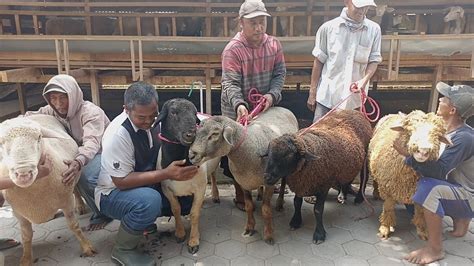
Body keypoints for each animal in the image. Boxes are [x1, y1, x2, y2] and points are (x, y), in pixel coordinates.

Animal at [0, 115, 96, 266]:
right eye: (1, 143)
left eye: (39, 137)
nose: (23, 174)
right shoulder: (18, 213)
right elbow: (26, 236)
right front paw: (26, 259)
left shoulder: (66, 200)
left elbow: (74, 225)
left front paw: (87, 247)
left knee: (76, 189)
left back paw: (80, 206)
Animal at [156, 97, 221, 254]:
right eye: (173, 112)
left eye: (193, 113)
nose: (191, 135)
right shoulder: (167, 190)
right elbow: (176, 209)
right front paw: (179, 233)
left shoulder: (200, 188)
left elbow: (194, 213)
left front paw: (193, 241)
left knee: (213, 175)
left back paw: (215, 195)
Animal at [188, 106, 296, 245]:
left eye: (215, 134)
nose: (191, 155)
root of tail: (283, 108)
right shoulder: (243, 182)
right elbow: (249, 206)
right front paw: (249, 228)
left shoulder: (269, 183)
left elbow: (266, 210)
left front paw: (269, 235)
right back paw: (260, 195)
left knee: (283, 182)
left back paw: (279, 203)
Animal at [262, 109, 370, 244]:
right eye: (269, 154)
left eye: (288, 156)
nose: (267, 177)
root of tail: (356, 112)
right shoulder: (301, 183)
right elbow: (297, 202)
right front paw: (296, 221)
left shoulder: (323, 185)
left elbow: (318, 210)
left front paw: (319, 234)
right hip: (348, 164)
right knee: (347, 179)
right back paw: (342, 195)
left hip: (365, 157)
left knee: (364, 178)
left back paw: (359, 198)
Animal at [368, 110, 450, 239]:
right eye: (410, 130)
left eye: (437, 136)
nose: (423, 150)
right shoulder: (388, 187)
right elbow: (388, 207)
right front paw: (385, 228)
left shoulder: (420, 192)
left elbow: (420, 211)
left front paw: (422, 230)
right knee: (376, 181)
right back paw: (376, 193)